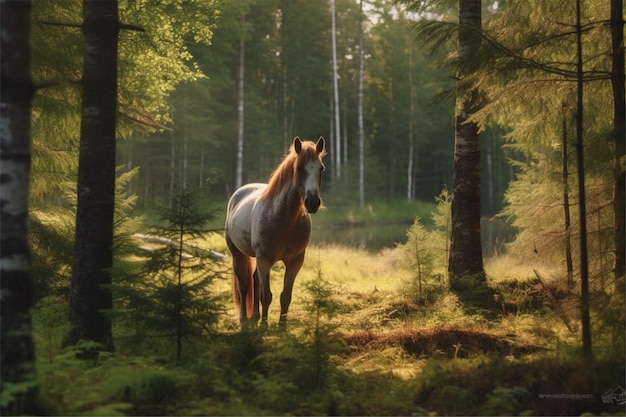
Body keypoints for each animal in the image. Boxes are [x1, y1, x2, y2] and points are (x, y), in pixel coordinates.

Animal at [224, 136, 324, 324]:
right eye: (299, 168)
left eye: (321, 168)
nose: (313, 202)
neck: (284, 219)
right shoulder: (264, 259)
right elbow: (266, 296)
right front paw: (264, 326)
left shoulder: (295, 262)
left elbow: (285, 296)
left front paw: (281, 326)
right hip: (238, 254)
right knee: (244, 285)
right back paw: (244, 320)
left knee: (255, 281)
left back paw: (255, 317)